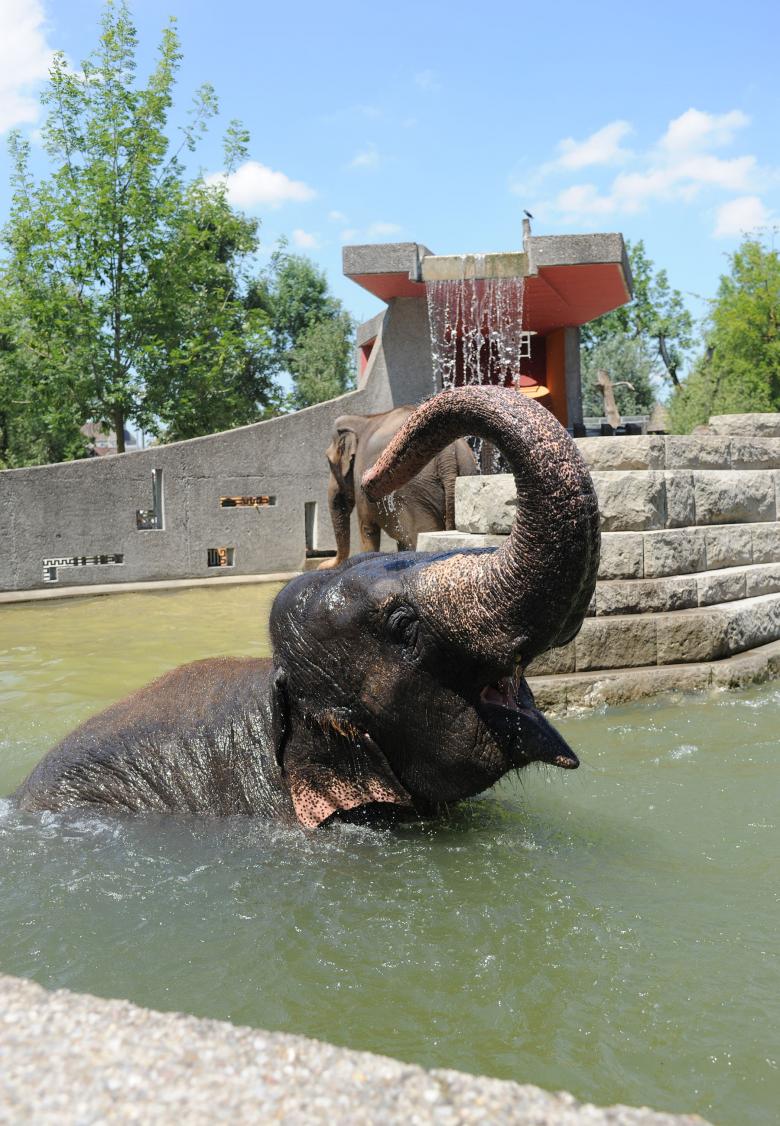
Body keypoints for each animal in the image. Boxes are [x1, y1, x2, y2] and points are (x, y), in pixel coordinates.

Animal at [319, 406, 478, 568]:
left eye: (329, 461)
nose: (321, 564)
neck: (363, 418)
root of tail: (448, 455)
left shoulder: (360, 477)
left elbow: (367, 529)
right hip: (462, 472)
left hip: (416, 494)